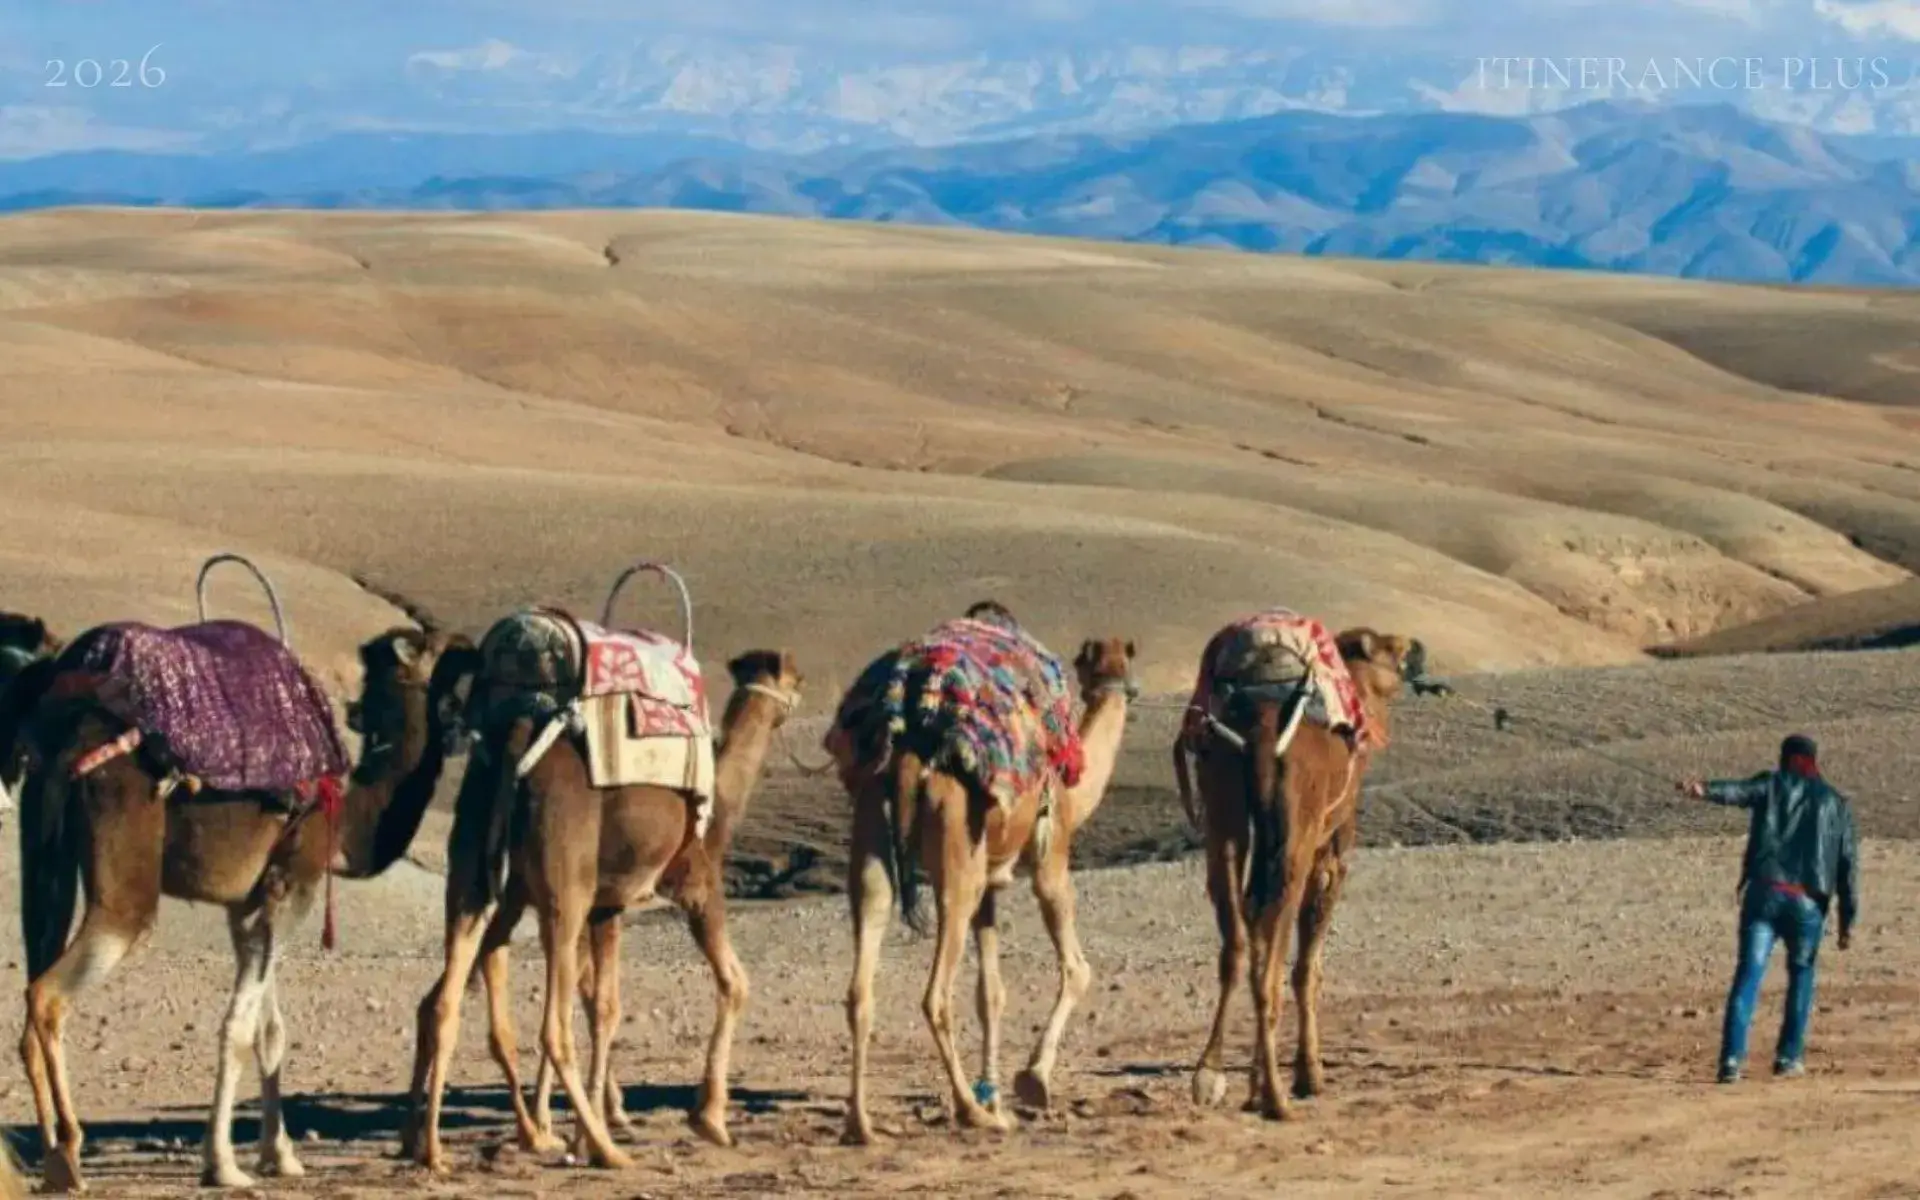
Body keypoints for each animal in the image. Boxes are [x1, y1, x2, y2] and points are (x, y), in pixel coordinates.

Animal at [5, 621, 477, 1192]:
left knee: (35, 981)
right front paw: (224, 1164)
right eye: (433, 644)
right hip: (125, 880)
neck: (347, 817)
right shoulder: (293, 885)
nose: (469, 645)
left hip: (44, 854)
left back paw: (52, 1154)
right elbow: (239, 1028)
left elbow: (270, 1030)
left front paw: (281, 1155)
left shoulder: (249, 903)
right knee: (48, 994)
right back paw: (68, 1152)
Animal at [402, 644, 803, 1174]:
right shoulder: (695, 884)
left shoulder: (607, 906)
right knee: (551, 1027)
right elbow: (733, 983)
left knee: (442, 1001)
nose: (801, 698)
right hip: (561, 890)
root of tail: (516, 744)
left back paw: (428, 1147)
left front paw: (588, 1123)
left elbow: (604, 1007)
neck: (719, 802)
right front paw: (708, 1119)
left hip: (476, 877)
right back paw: (603, 1151)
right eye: (796, 679)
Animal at [835, 623, 1136, 1145]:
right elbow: (1078, 968)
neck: (1075, 792)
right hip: (957, 859)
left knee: (861, 979)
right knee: (935, 994)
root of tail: (909, 754)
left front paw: (995, 1091)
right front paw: (1032, 1080)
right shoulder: (1051, 860)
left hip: (873, 829)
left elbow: (990, 994)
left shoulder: (992, 888)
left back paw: (863, 1123)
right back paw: (973, 1113)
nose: (1122, 683)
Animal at [1174, 621, 1425, 1121]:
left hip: (1224, 808)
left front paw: (1251, 1083)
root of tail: (1263, 733)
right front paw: (1309, 1075)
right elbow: (1308, 963)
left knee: (1237, 938)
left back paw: (1211, 1074)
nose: (1417, 647)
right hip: (1298, 831)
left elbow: (1256, 930)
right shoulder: (1334, 842)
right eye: (1390, 650)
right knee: (1273, 943)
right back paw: (1277, 1097)